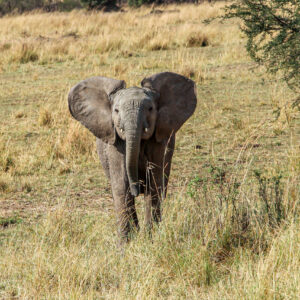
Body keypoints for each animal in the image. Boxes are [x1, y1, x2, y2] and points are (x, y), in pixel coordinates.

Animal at [69, 71, 198, 243]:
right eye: (116, 111)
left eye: (150, 109)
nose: (137, 188)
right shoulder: (115, 144)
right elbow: (122, 186)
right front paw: (126, 245)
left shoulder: (159, 142)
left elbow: (154, 184)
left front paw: (151, 240)